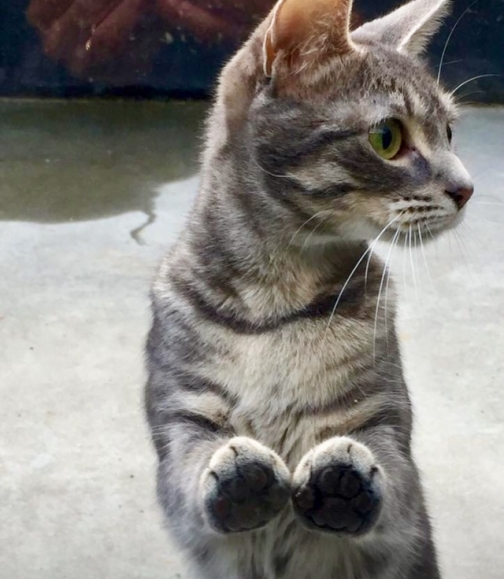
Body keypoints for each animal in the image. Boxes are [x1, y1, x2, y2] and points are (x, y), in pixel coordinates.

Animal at [145, 0, 474, 577]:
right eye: (387, 137)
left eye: (449, 134)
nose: (467, 187)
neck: (275, 307)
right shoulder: (179, 416)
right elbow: (189, 469)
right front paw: (237, 476)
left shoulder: (387, 428)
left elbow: (387, 472)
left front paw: (346, 480)